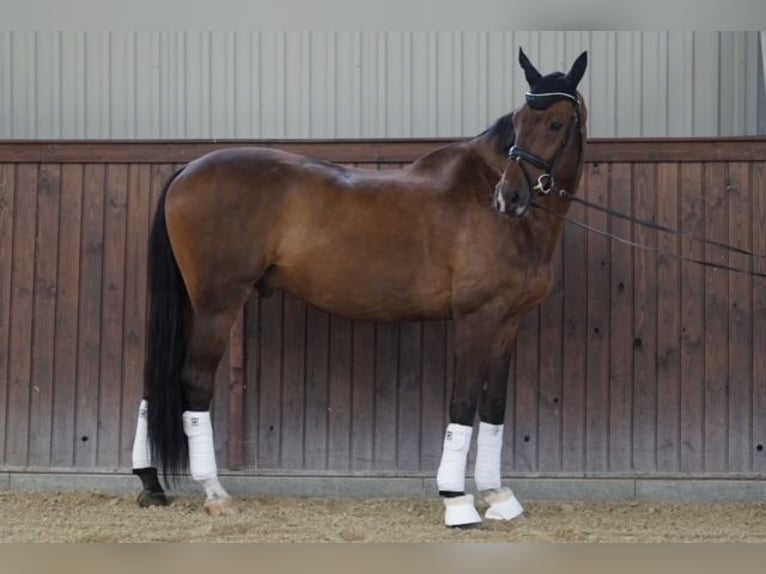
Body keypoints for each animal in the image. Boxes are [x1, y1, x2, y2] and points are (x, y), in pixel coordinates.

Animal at [130, 47, 588, 528]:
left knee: (155, 379)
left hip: (192, 303)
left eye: (556, 123)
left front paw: (499, 496)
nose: (509, 198)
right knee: (195, 380)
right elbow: (463, 402)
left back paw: (151, 483)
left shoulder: (507, 322)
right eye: (520, 120)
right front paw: (456, 500)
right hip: (217, 303)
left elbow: (494, 405)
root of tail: (187, 169)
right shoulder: (476, 318)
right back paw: (215, 492)